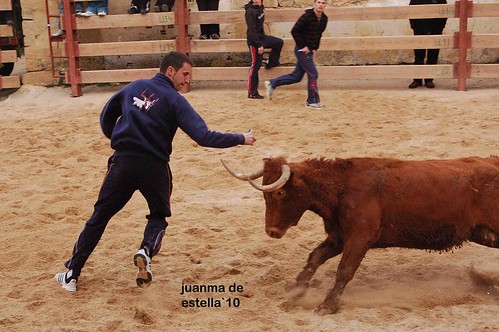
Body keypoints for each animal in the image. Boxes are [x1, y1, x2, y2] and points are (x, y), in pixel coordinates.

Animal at [223, 156, 499, 314]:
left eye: (279, 193)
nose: (271, 231)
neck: (342, 187)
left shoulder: (358, 239)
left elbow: (344, 270)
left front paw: (327, 305)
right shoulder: (338, 237)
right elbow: (314, 258)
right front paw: (296, 291)